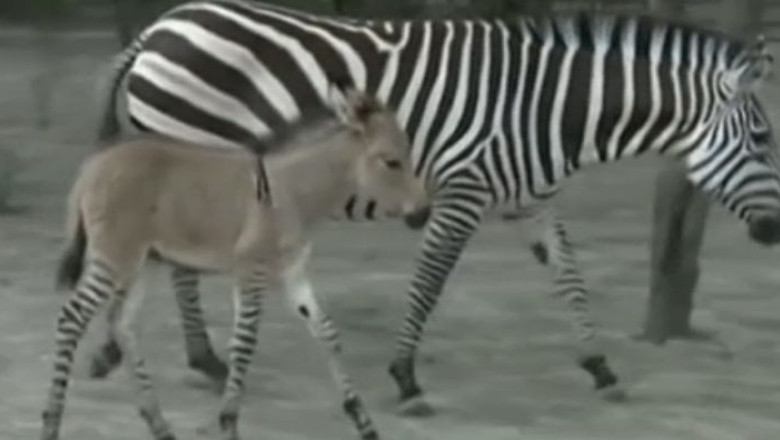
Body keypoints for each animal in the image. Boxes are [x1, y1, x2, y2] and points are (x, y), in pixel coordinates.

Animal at [87, 0, 780, 416]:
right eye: (762, 139)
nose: (774, 233)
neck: (553, 110)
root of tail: (158, 28)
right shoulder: (463, 192)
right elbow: (428, 283)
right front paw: (405, 377)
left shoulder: (532, 201)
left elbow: (571, 278)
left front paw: (601, 367)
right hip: (193, 147)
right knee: (176, 263)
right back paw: (202, 358)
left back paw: (195, 357)